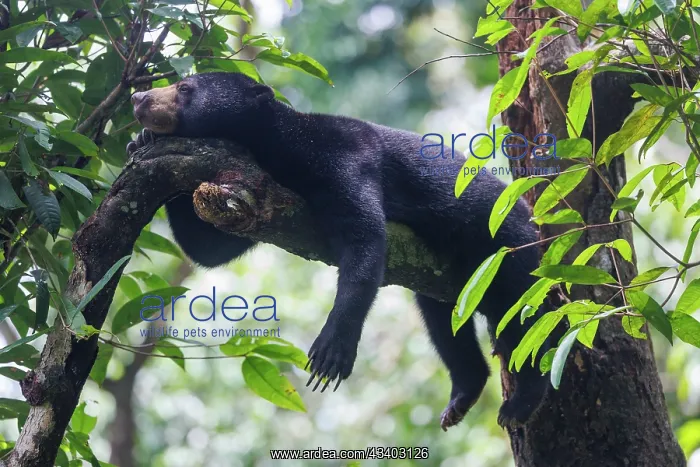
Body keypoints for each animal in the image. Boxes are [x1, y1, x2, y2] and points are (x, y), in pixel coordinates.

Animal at [127, 72, 550, 430]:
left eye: (185, 88)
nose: (137, 97)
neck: (287, 147)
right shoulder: (260, 196)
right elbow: (212, 248)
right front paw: (143, 142)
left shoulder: (347, 158)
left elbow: (365, 239)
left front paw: (330, 353)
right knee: (444, 323)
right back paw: (461, 397)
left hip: (509, 248)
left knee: (526, 317)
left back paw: (520, 404)